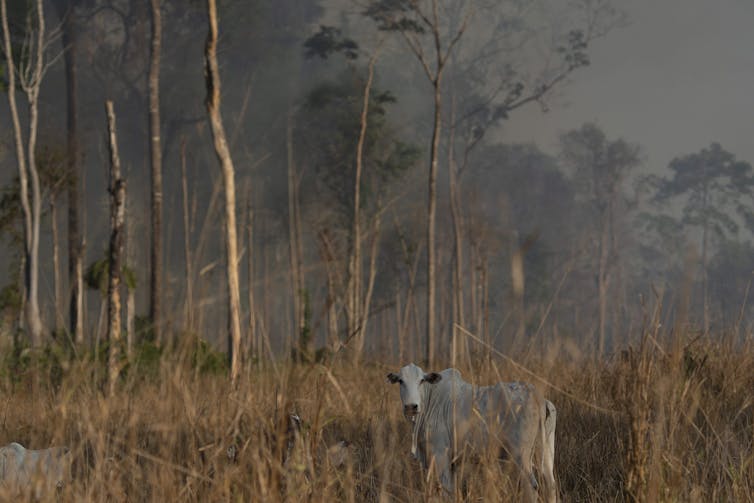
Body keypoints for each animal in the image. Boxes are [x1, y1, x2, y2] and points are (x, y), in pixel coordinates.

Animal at [390, 364, 556, 502]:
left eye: (421, 381)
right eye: (400, 381)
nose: (411, 406)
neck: (430, 399)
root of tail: (538, 397)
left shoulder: (440, 455)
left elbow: (446, 491)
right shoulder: (453, 463)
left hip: (521, 455)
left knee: (532, 487)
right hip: (545, 450)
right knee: (550, 485)